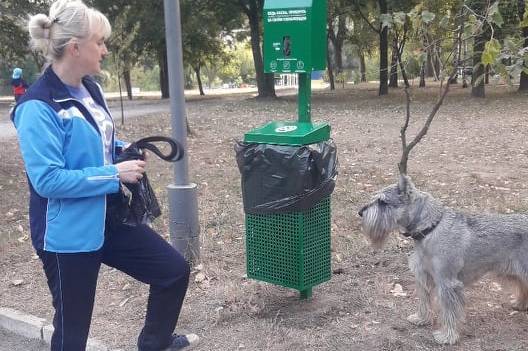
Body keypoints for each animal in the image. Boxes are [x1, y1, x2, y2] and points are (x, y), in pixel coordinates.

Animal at [358, 175, 528, 346]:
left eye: (382, 202)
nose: (360, 212)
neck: (431, 228)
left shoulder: (447, 283)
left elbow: (449, 312)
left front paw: (447, 336)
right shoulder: (423, 276)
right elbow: (424, 300)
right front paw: (421, 318)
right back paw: (520, 304)